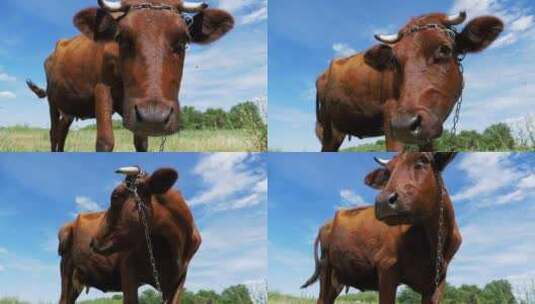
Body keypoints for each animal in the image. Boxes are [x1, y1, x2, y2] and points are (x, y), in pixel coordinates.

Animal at [26, 0, 232, 152]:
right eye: (121, 38)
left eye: (183, 40)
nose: (154, 116)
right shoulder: (102, 88)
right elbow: (105, 141)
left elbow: (142, 143)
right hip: (53, 101)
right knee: (54, 133)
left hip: (69, 108)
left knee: (62, 132)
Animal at [304, 153, 462, 302]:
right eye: (387, 173)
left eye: (422, 161)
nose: (382, 202)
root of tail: (327, 222)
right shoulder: (387, 266)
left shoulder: (438, 281)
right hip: (326, 268)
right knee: (322, 299)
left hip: (339, 277)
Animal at [316, 11, 504, 152]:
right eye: (394, 61)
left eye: (444, 49)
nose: (404, 124)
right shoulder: (390, 118)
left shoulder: (427, 129)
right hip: (327, 129)